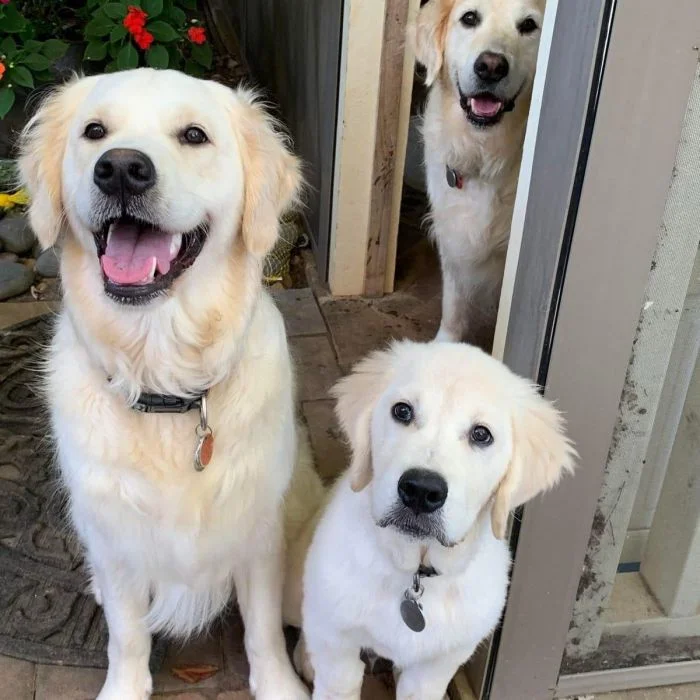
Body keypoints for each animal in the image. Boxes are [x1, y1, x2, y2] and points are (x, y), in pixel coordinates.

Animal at [19, 69, 324, 700]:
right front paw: (124, 687)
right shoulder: (115, 538)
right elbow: (127, 635)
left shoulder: (258, 530)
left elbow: (262, 628)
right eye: (94, 131)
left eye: (193, 135)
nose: (120, 168)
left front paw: (279, 683)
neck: (164, 380)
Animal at [296, 340, 575, 699]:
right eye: (402, 411)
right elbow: (337, 682)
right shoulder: (336, 642)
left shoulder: (439, 664)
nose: (420, 490)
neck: (415, 574)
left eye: (481, 434)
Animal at [414, 0, 546, 348]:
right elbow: (453, 305)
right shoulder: (453, 235)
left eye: (529, 25)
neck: (485, 154)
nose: (491, 67)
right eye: (469, 18)